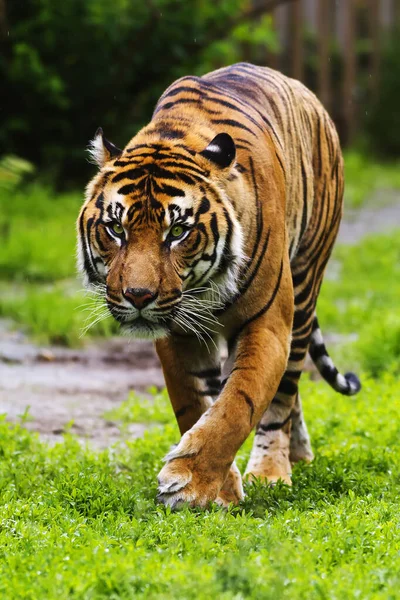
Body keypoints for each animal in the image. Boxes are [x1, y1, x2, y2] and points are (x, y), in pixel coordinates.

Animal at [76, 63, 360, 508]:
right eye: (116, 229)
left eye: (177, 231)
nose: (138, 296)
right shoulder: (178, 336)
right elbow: (197, 405)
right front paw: (218, 486)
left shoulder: (269, 325)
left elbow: (238, 405)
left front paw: (190, 484)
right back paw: (298, 452)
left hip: (302, 291)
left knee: (285, 392)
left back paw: (273, 470)